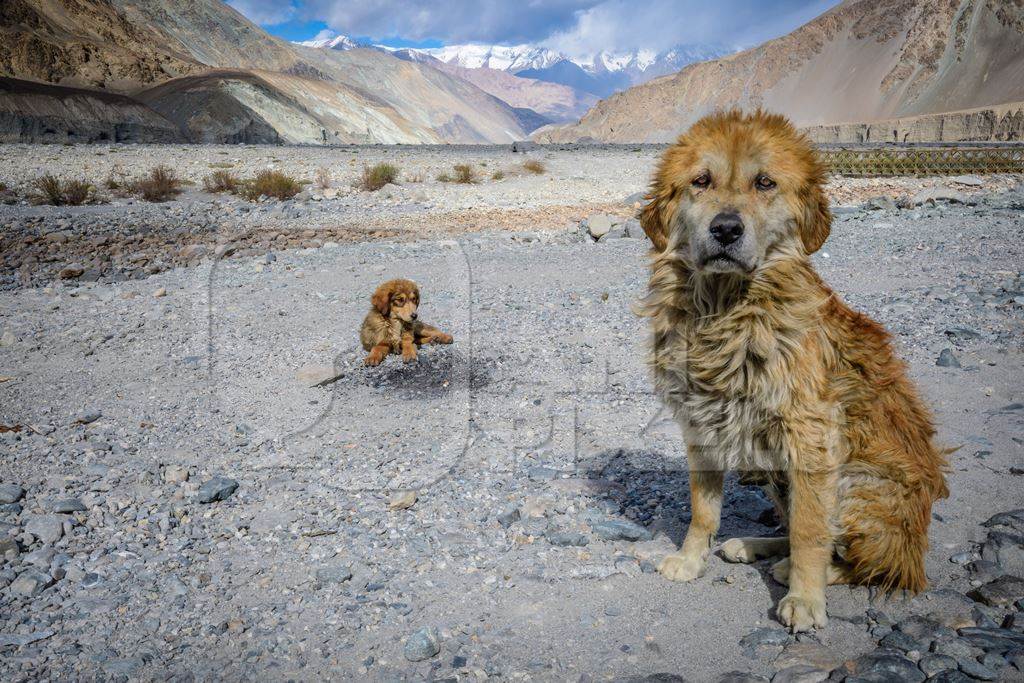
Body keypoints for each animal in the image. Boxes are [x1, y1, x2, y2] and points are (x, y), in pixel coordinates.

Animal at [634, 109, 946, 634]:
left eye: (765, 182)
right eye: (701, 181)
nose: (726, 229)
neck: (727, 311)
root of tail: (917, 546)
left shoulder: (812, 434)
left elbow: (810, 530)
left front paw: (804, 598)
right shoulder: (701, 424)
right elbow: (703, 510)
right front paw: (692, 559)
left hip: (861, 484)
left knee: (872, 563)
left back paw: (795, 569)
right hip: (777, 472)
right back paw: (753, 545)